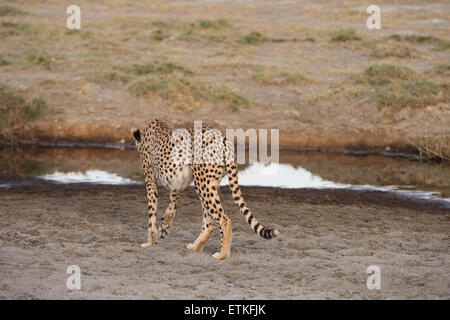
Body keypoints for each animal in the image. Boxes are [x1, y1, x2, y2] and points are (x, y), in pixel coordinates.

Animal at [129, 119, 278, 258]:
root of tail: (223, 138)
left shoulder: (150, 180)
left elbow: (151, 213)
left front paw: (150, 241)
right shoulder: (176, 183)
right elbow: (172, 204)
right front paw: (165, 226)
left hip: (203, 184)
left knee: (224, 220)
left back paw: (222, 255)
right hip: (207, 184)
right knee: (209, 222)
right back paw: (196, 247)